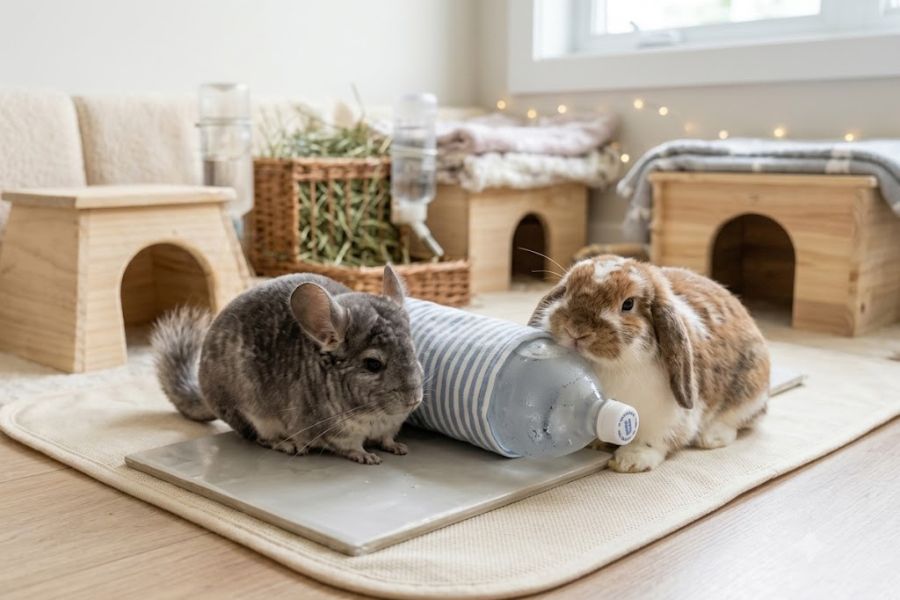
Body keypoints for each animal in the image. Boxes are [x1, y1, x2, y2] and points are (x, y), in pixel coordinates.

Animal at [151, 265, 424, 465]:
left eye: (414, 352)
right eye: (373, 364)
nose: (414, 399)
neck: (375, 416)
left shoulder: (389, 427)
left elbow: (387, 439)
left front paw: (398, 447)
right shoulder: (336, 432)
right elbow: (351, 447)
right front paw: (368, 457)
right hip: (253, 415)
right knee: (260, 438)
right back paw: (289, 445)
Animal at [529, 255, 770, 473]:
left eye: (628, 304)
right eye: (567, 291)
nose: (576, 330)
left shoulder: (668, 417)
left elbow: (657, 439)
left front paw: (630, 460)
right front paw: (596, 444)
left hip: (749, 393)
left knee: (739, 420)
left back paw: (710, 438)